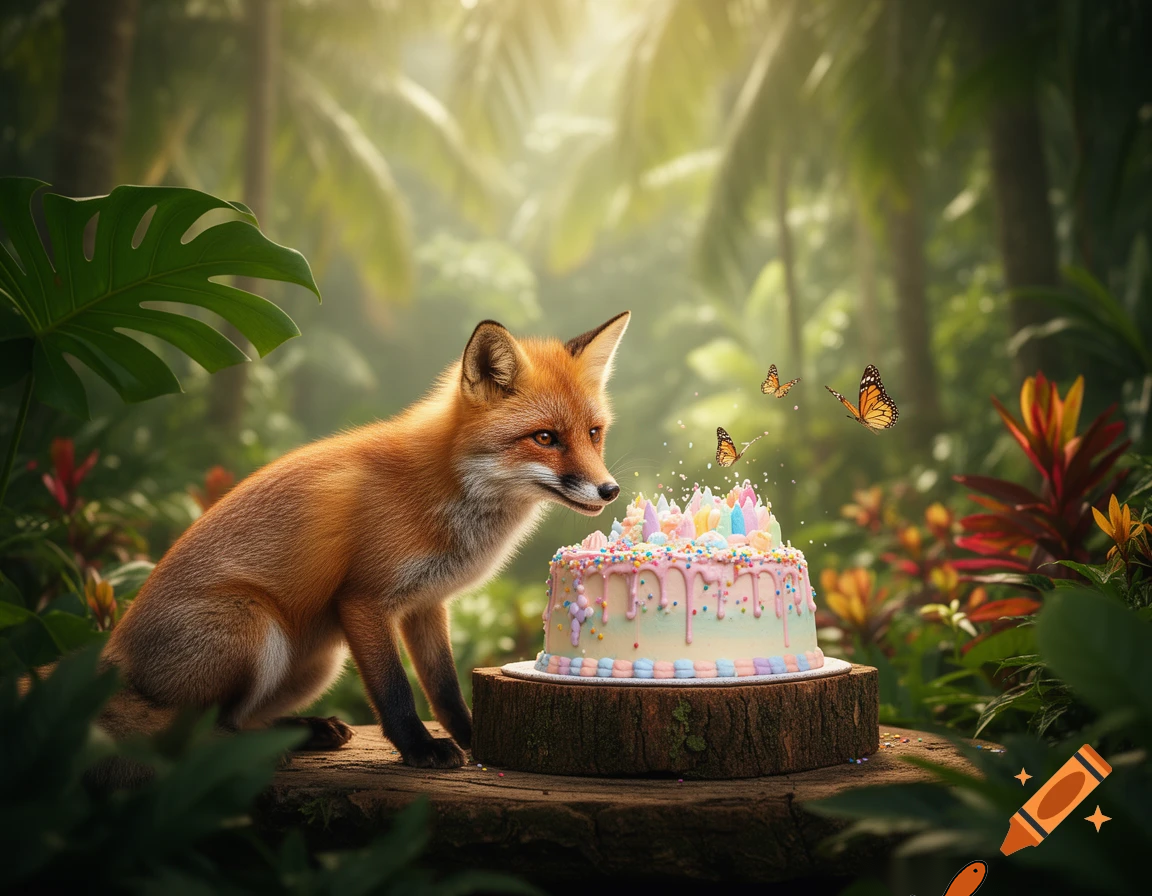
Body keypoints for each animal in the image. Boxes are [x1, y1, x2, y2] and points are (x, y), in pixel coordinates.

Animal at [91, 312, 630, 784]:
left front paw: (473, 736)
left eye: (594, 433)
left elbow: (444, 687)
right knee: (189, 731)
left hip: (318, 662)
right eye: (545, 438)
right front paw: (419, 749)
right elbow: (394, 689)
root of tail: (110, 663)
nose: (610, 490)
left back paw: (302, 730)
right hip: (256, 627)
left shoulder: (427, 603)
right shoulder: (364, 599)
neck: (447, 490)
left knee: (239, 719)